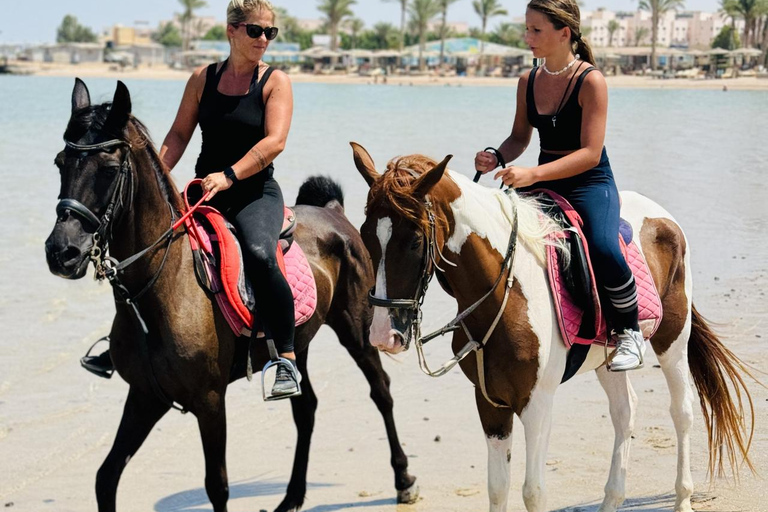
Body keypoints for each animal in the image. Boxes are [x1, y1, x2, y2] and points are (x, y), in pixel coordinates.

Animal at [43, 79, 418, 512]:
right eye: (60, 163)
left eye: (106, 169)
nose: (62, 252)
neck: (159, 291)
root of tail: (335, 213)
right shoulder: (145, 397)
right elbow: (106, 478)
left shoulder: (209, 401)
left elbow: (217, 486)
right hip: (296, 344)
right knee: (306, 408)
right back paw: (291, 498)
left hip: (356, 329)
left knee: (381, 392)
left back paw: (404, 479)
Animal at [350, 142, 755, 512]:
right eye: (366, 235)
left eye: (415, 241)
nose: (383, 335)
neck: (505, 290)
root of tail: (662, 217)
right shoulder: (490, 402)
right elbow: (497, 488)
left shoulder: (537, 402)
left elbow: (533, 492)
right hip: (608, 355)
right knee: (625, 411)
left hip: (673, 339)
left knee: (682, 411)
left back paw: (683, 497)